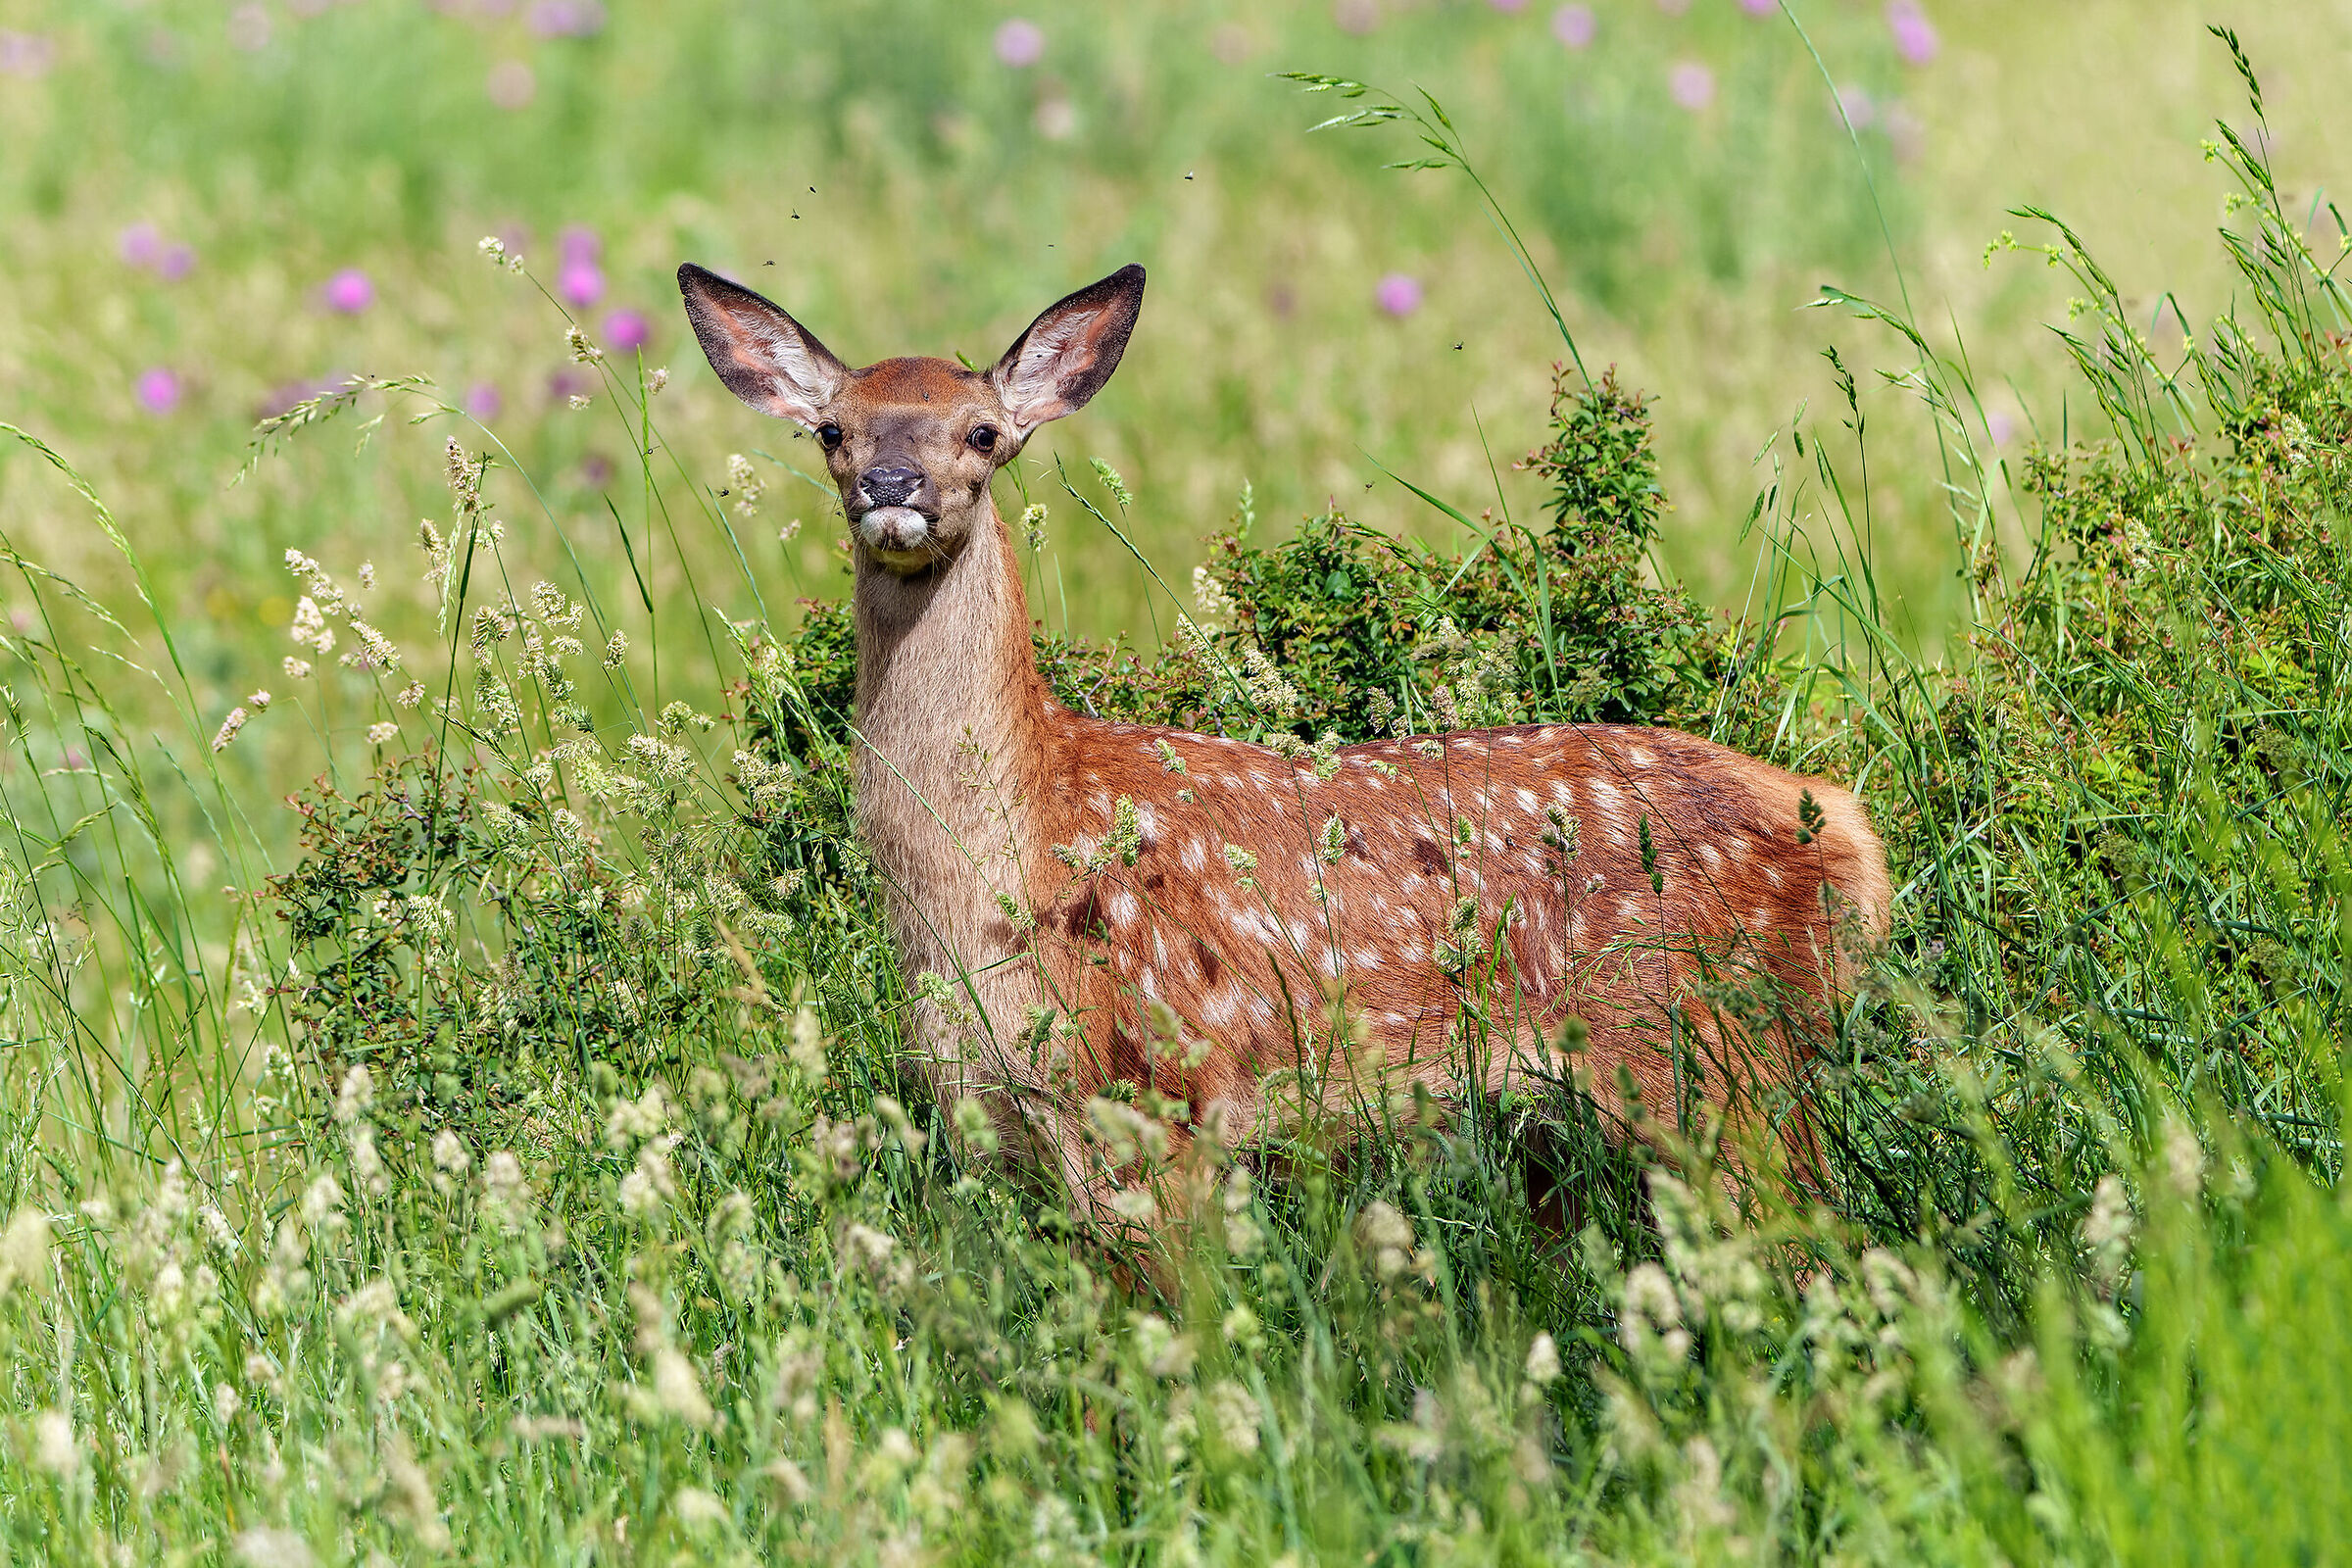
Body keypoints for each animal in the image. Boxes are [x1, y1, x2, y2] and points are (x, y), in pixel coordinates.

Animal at [676, 259, 1891, 1264]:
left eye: (982, 433)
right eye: (832, 430)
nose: (891, 485)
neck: (1006, 862)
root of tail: (1845, 828)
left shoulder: (1162, 1093)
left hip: (1710, 1053)